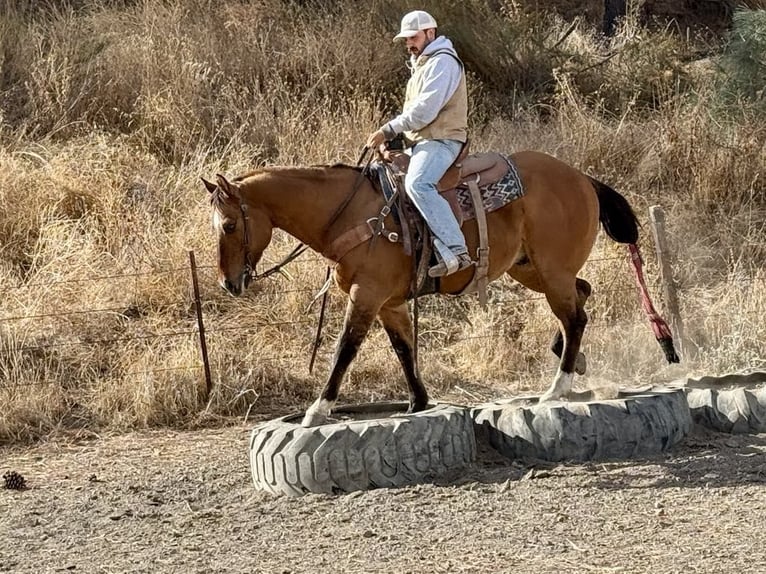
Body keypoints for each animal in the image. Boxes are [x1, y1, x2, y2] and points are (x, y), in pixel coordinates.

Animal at [204, 150, 657, 427]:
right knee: (581, 296)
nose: (229, 283)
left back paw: (556, 387)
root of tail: (580, 177)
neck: (352, 213)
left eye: (229, 225)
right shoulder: (388, 303)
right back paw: (570, 358)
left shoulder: (366, 296)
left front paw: (318, 409)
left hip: (551, 270)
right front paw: (418, 402)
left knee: (575, 316)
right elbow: (404, 348)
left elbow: (345, 348)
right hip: (532, 270)